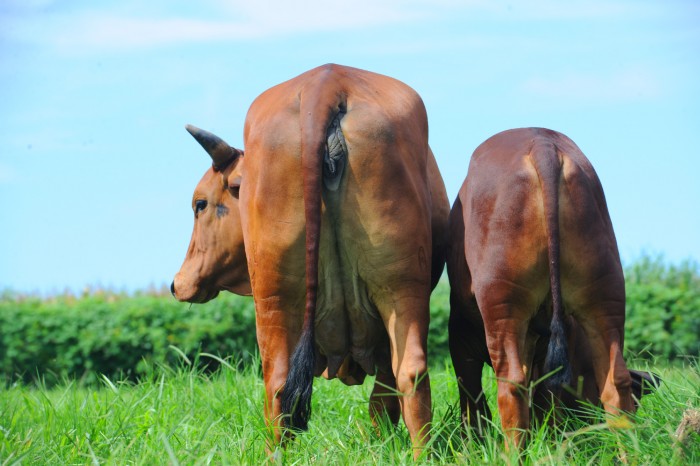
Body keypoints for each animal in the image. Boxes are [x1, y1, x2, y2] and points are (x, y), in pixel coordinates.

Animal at [172, 62, 452, 456]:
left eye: (200, 203)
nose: (176, 284)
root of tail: (327, 83)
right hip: (400, 289)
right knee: (410, 373)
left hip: (276, 296)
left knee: (277, 383)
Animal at [448, 127, 640, 448]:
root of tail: (542, 142)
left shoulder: (461, 336)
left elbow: (473, 401)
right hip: (606, 290)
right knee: (616, 381)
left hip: (501, 302)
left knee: (511, 386)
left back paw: (511, 453)